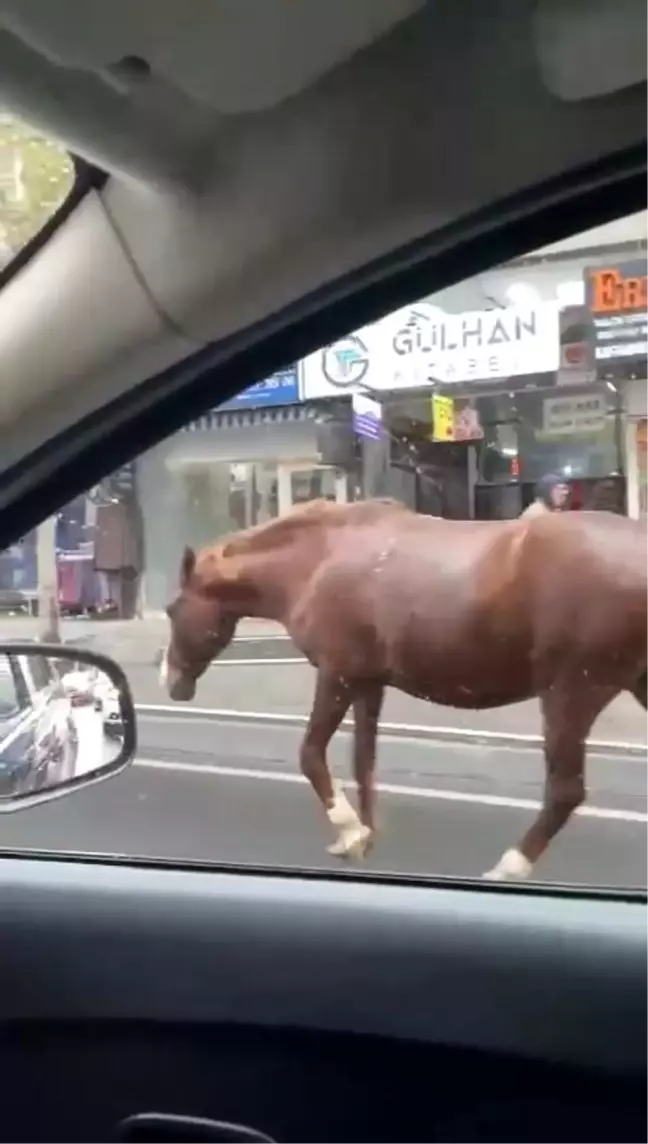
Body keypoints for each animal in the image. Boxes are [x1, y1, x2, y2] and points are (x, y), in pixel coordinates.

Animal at [162, 496, 648, 878]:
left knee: (565, 792)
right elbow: (364, 762)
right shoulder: (367, 683)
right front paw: (363, 836)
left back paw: (508, 868)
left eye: (171, 609)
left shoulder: (337, 675)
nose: (170, 681)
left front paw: (350, 829)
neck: (317, 559)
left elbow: (311, 753)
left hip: (571, 693)